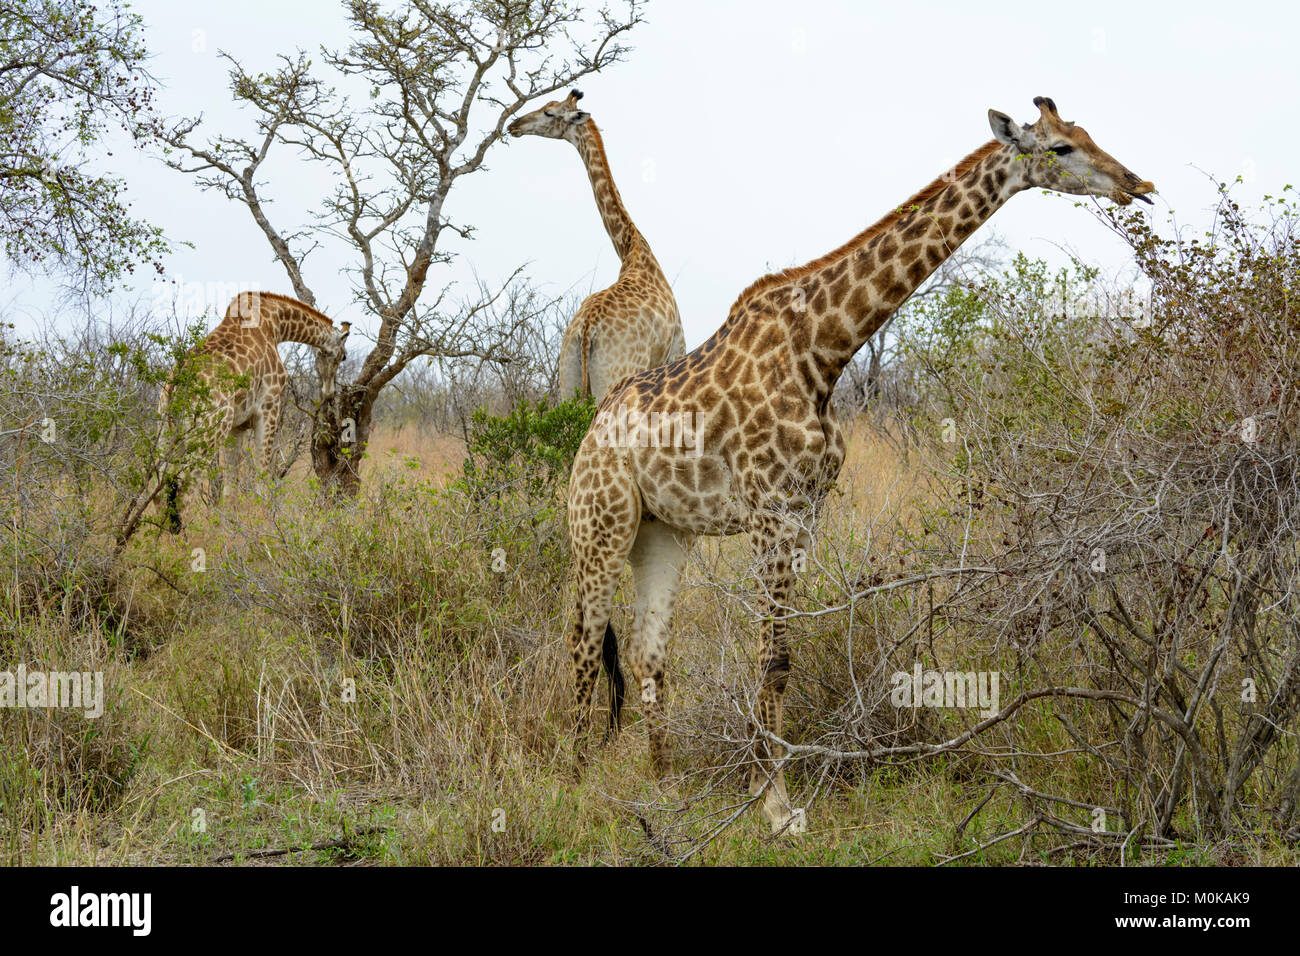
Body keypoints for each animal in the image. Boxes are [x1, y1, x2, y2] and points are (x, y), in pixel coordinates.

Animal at [159, 287, 348, 535]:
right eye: (343, 356)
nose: (329, 392)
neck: (276, 325)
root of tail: (176, 385)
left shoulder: (236, 427)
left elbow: (230, 488)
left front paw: (228, 534)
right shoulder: (269, 409)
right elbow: (262, 479)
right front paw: (267, 530)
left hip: (165, 432)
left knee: (158, 494)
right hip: (208, 432)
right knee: (183, 495)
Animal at [506, 90, 691, 403]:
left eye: (549, 111)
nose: (514, 125)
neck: (631, 246)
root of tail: (587, 328)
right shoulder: (676, 350)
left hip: (567, 375)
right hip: (614, 375)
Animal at [564, 95, 1154, 832]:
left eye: (1086, 132)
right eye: (1061, 148)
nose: (1138, 183)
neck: (825, 348)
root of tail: (592, 428)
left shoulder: (804, 513)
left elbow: (782, 656)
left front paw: (769, 796)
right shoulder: (772, 512)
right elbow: (774, 655)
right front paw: (774, 806)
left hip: (663, 532)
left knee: (647, 653)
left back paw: (662, 785)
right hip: (600, 523)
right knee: (584, 644)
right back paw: (571, 785)